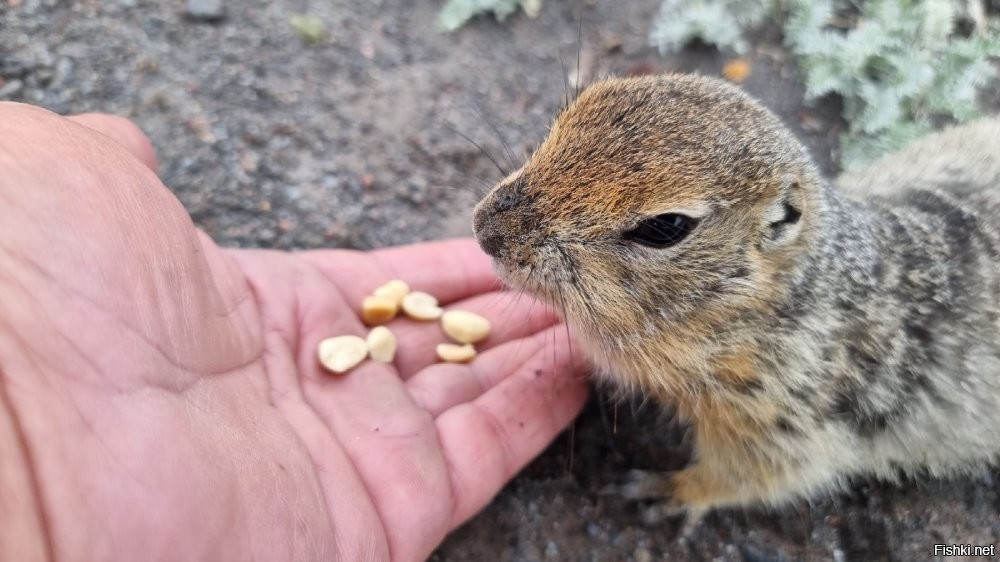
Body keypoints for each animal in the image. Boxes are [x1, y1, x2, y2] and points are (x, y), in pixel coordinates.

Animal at [472, 73, 1000, 520]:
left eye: (666, 227)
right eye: (568, 113)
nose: (485, 229)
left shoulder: (781, 420)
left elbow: (758, 474)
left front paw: (671, 491)